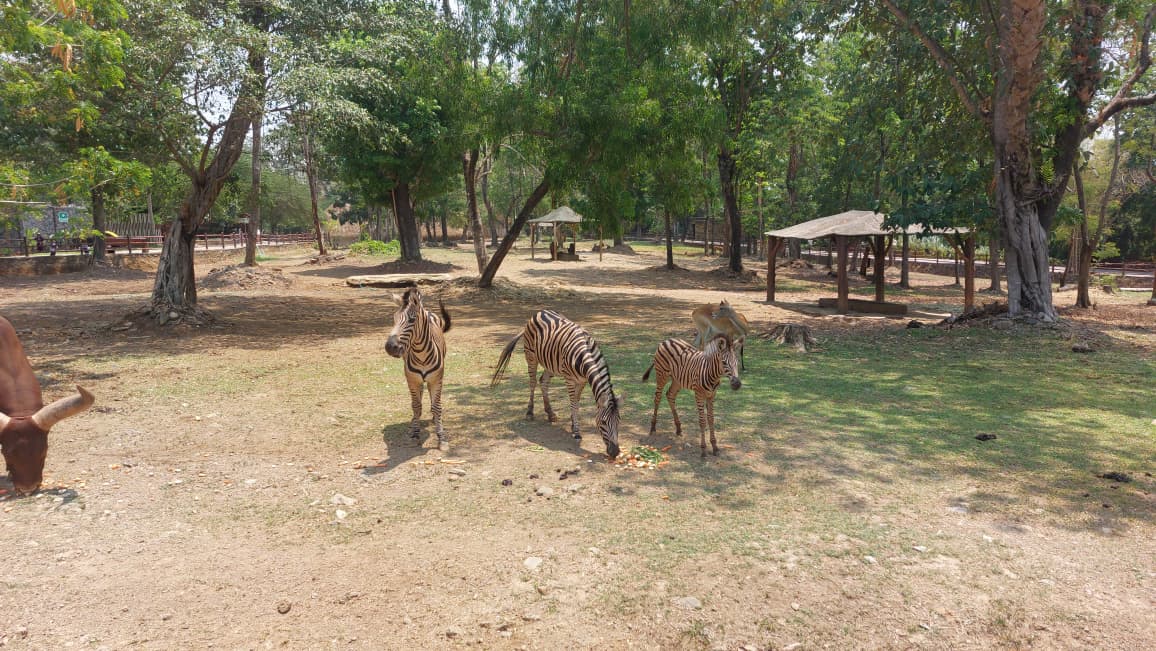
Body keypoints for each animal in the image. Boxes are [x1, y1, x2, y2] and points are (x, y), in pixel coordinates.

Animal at [384, 286, 452, 451]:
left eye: (411, 320)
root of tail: (428, 311)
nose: (389, 347)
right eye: (394, 319)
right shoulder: (412, 379)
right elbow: (415, 405)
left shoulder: (436, 379)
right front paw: (415, 434)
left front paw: (442, 438)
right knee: (419, 399)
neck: (421, 355)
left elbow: (437, 406)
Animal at [491, 310, 621, 459]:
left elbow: (576, 402)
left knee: (543, 381)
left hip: (550, 364)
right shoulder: (569, 379)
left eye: (619, 420)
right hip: (531, 356)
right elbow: (573, 404)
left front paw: (573, 424)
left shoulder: (582, 380)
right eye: (604, 422)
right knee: (532, 383)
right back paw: (530, 412)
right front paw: (576, 432)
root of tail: (539, 312)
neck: (585, 356)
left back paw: (550, 413)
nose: (615, 452)